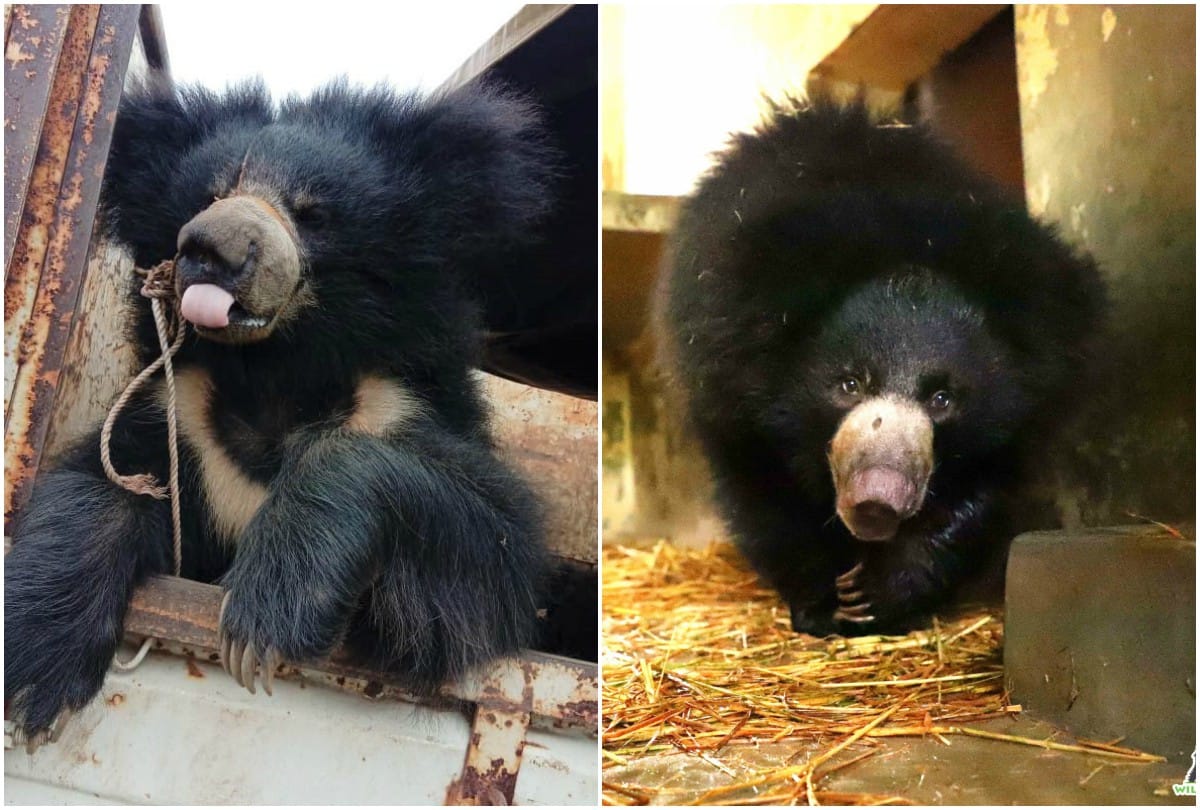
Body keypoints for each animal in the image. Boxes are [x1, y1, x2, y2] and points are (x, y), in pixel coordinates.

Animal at [4, 78, 557, 742]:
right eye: (211, 195)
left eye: (312, 212)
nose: (209, 249)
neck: (276, 371)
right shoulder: (180, 419)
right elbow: (104, 484)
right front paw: (34, 670)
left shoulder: (401, 405)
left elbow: (490, 557)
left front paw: (260, 624)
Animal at [656, 97, 1105, 637]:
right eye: (850, 383)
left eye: (942, 399)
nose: (877, 500)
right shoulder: (726, 380)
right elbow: (763, 494)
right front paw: (829, 602)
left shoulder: (1029, 401)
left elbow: (983, 492)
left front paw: (881, 594)